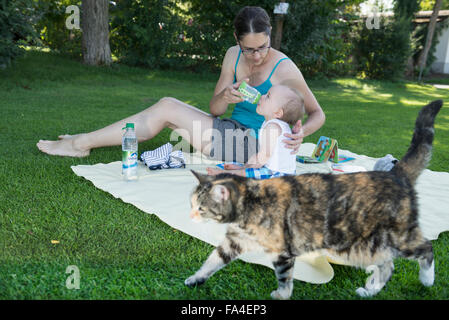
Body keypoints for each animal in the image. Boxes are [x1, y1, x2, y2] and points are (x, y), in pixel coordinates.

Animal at [185, 99, 440, 298]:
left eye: (201, 208)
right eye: (192, 204)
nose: (191, 215)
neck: (250, 204)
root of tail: (395, 173)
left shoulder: (282, 251)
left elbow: (285, 279)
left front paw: (280, 295)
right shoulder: (233, 242)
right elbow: (213, 260)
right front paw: (195, 279)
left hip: (394, 236)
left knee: (425, 248)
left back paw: (427, 279)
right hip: (366, 245)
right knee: (388, 265)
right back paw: (370, 289)